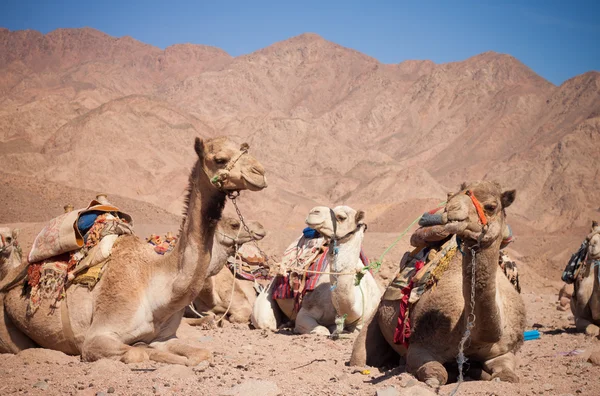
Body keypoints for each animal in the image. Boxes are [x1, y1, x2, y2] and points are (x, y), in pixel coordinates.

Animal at [0, 137, 268, 366]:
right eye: (220, 159)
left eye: (244, 148)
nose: (260, 172)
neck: (156, 286)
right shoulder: (97, 337)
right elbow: (137, 353)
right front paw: (147, 349)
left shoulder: (165, 337)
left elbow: (201, 353)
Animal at [252, 206, 380, 336]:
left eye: (341, 217)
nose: (314, 211)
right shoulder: (305, 312)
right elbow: (322, 330)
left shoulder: (363, 320)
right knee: (265, 322)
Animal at [350, 182, 528, 384]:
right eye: (454, 196)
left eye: (491, 206)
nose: (451, 209)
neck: (472, 337)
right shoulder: (420, 347)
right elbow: (437, 374)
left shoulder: (504, 352)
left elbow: (507, 376)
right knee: (360, 356)